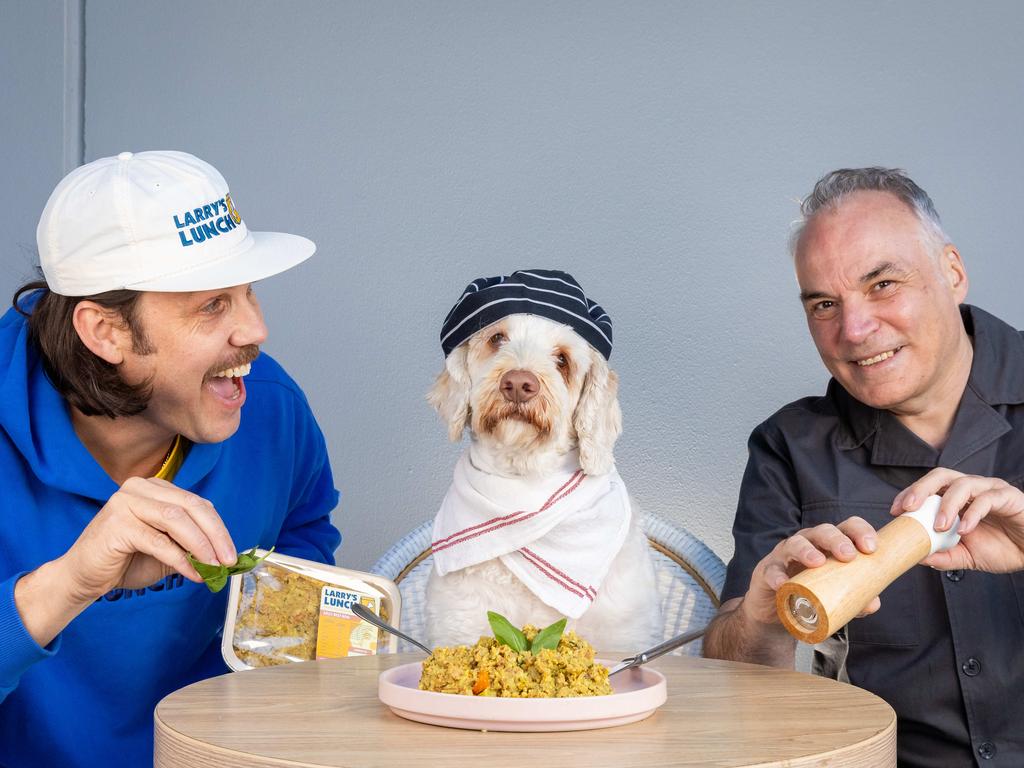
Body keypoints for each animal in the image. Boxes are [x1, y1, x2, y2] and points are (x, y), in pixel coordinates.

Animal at [425, 268, 659, 651]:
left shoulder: (622, 638)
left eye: (562, 359)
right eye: (497, 338)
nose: (519, 383)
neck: (524, 480)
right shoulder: (459, 625)